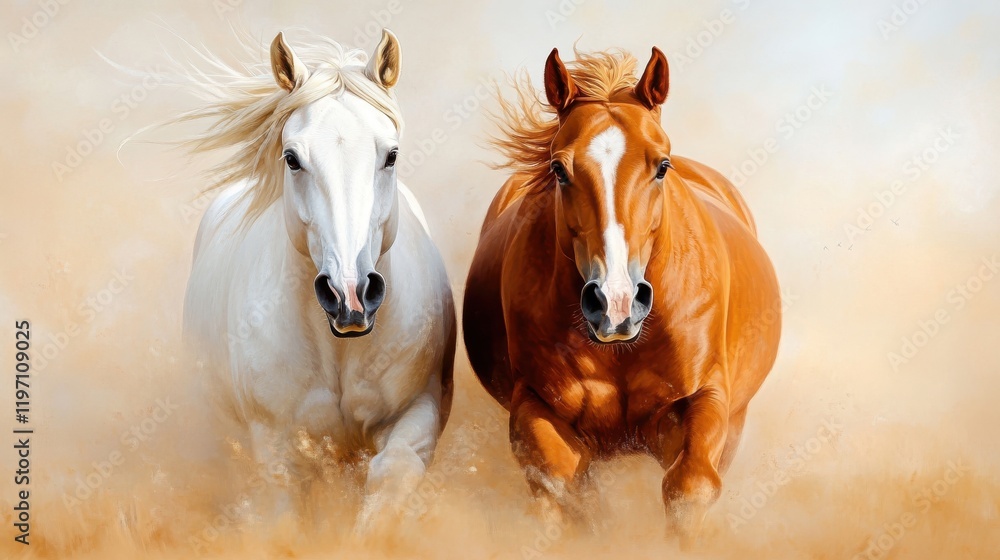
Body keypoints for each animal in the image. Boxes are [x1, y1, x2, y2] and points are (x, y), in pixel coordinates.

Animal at [178, 29, 456, 529]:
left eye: (391, 154)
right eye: (292, 158)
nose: (351, 295)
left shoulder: (419, 412)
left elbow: (391, 474)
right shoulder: (277, 449)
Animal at [463, 46, 781, 545]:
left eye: (661, 166)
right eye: (559, 169)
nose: (615, 304)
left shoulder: (705, 399)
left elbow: (689, 488)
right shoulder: (534, 404)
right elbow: (566, 487)